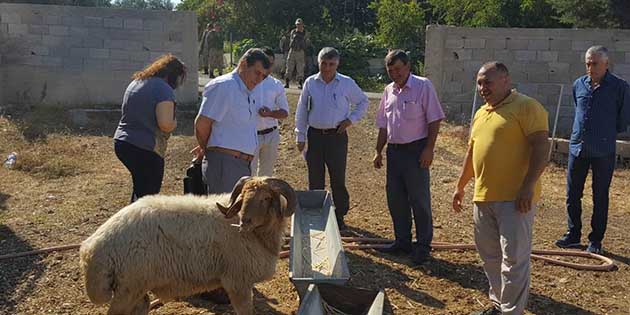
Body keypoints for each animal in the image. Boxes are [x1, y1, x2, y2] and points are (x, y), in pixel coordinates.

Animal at [78, 178, 296, 315]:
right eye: (243, 196)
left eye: (266, 198)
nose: (245, 221)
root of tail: (91, 249)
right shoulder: (237, 282)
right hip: (128, 287)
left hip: (134, 288)